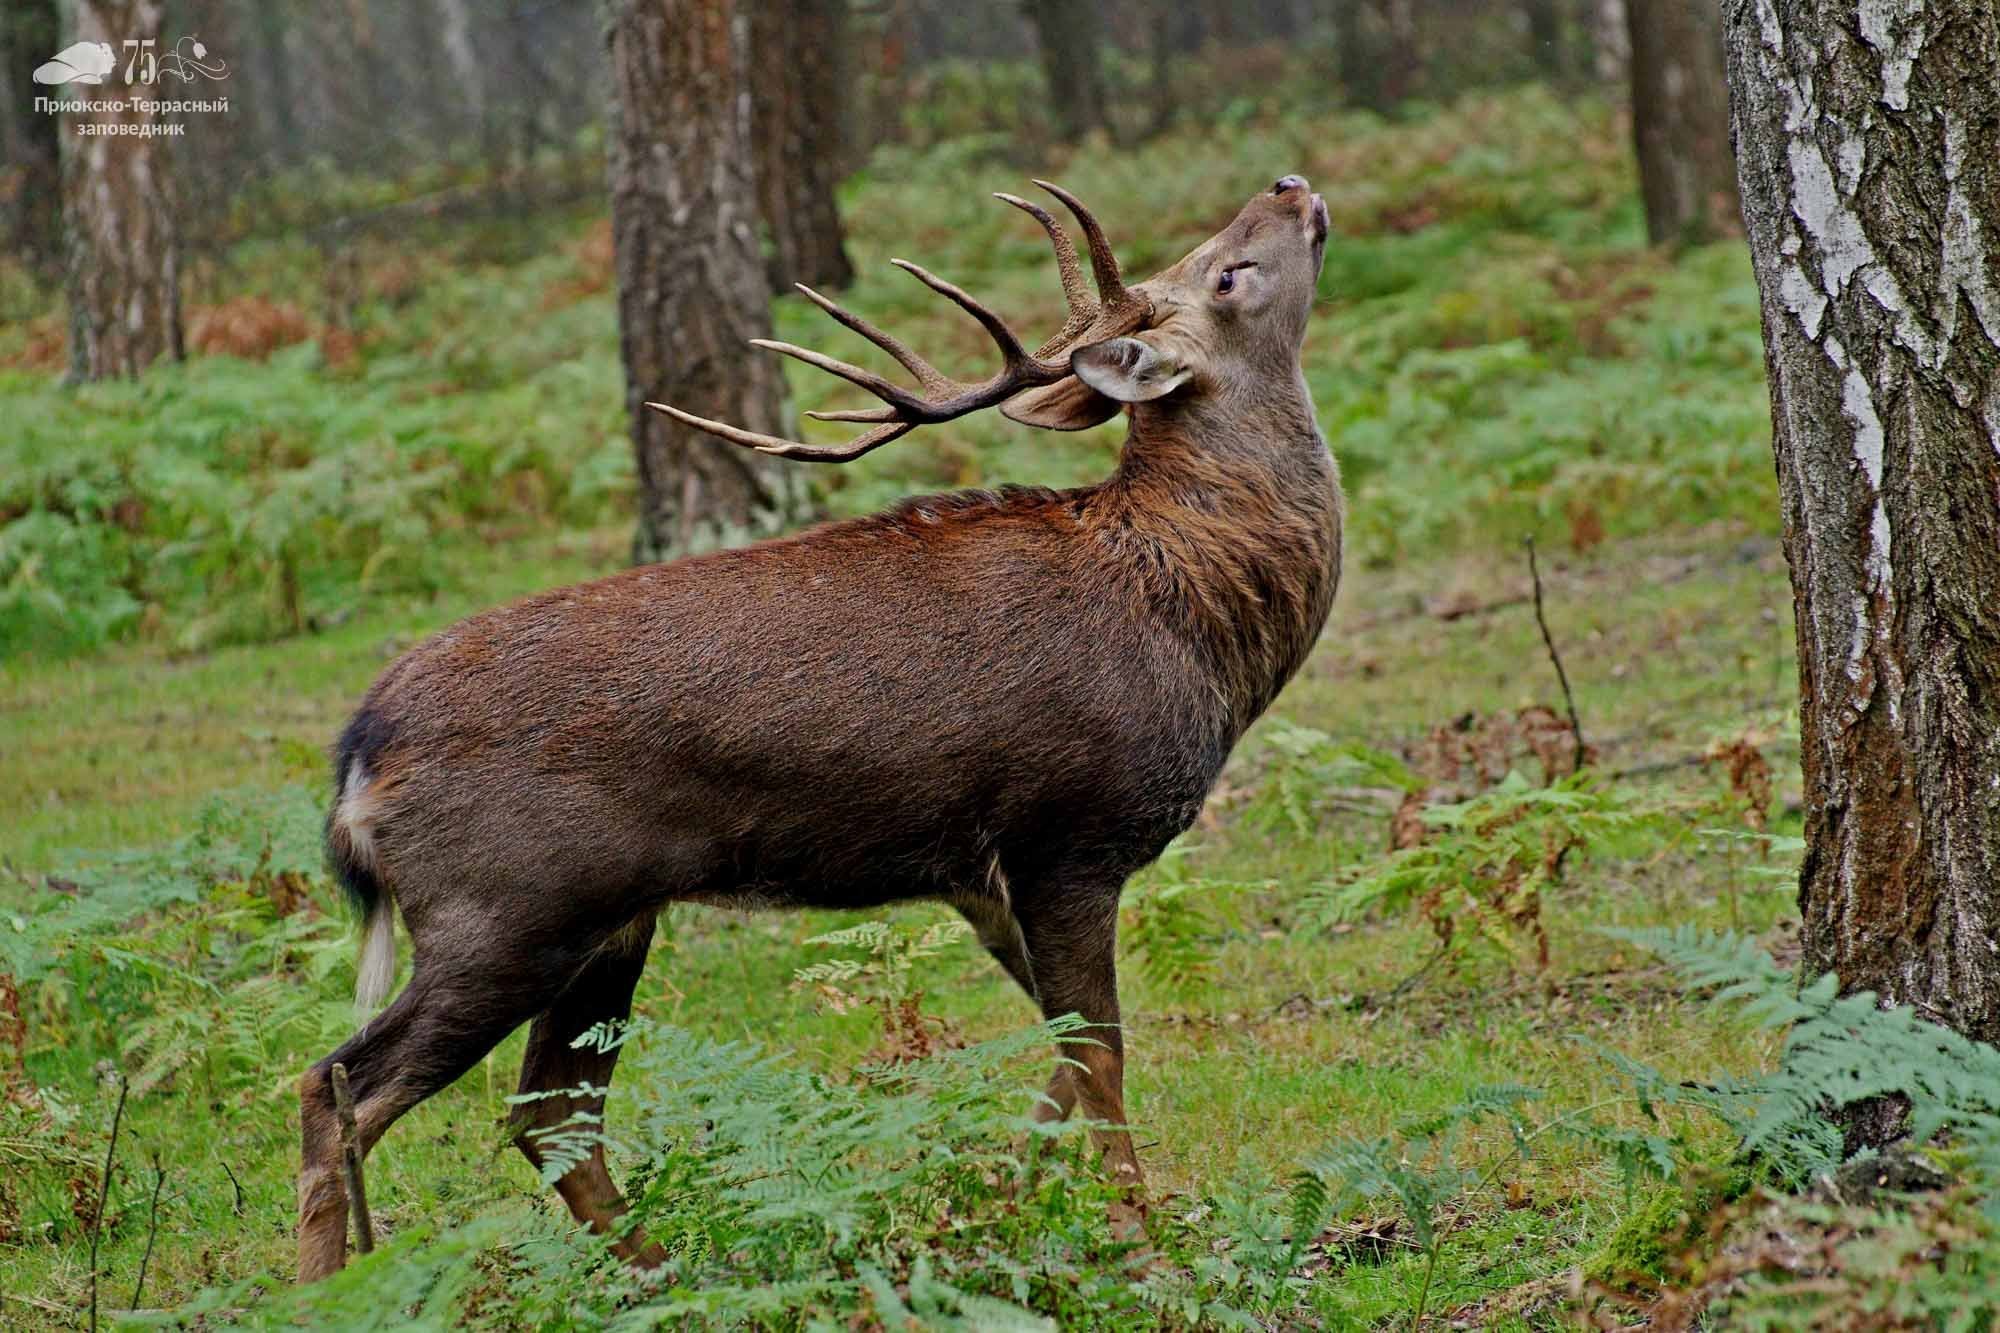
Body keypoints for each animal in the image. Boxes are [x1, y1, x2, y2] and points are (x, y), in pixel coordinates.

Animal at [300, 171, 1344, 1272]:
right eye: (1225, 273)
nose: (1288, 184)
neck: (1193, 611)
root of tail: (358, 754)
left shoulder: (976, 877)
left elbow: (1059, 1058)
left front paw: (1006, 1195)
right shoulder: (1065, 840)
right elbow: (1099, 1053)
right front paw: (1139, 1247)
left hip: (606, 919)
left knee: (549, 1114)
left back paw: (671, 1273)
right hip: (501, 909)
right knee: (339, 1089)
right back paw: (324, 1287)